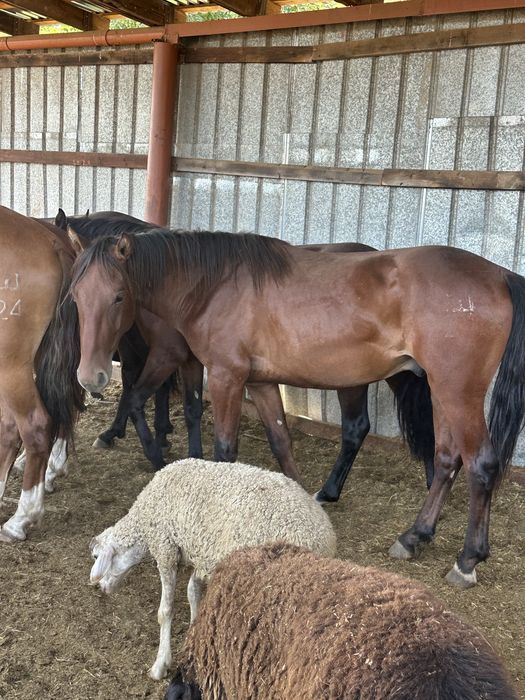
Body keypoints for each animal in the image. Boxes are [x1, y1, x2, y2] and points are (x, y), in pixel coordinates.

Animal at [69, 229, 525, 587]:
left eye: (118, 296)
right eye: (75, 296)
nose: (91, 377)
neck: (215, 286)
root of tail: (499, 275)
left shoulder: (226, 377)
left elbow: (225, 452)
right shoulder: (261, 382)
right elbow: (281, 443)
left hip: (457, 390)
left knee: (480, 464)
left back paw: (467, 560)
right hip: (441, 391)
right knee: (447, 460)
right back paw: (415, 536)